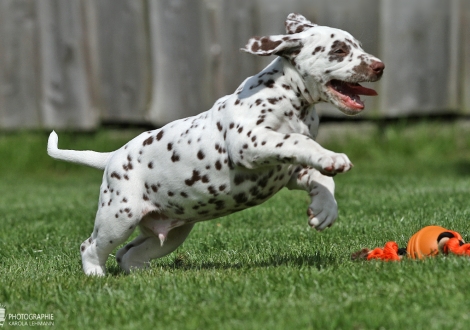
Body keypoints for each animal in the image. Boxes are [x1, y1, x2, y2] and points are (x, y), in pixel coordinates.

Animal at [46, 13, 382, 276]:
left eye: (358, 46)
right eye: (339, 50)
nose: (379, 66)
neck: (290, 99)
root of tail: (113, 156)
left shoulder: (290, 171)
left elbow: (321, 176)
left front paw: (324, 209)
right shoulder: (251, 142)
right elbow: (297, 140)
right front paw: (333, 159)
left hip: (170, 233)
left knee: (129, 254)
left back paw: (142, 276)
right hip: (119, 216)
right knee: (91, 246)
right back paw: (96, 276)